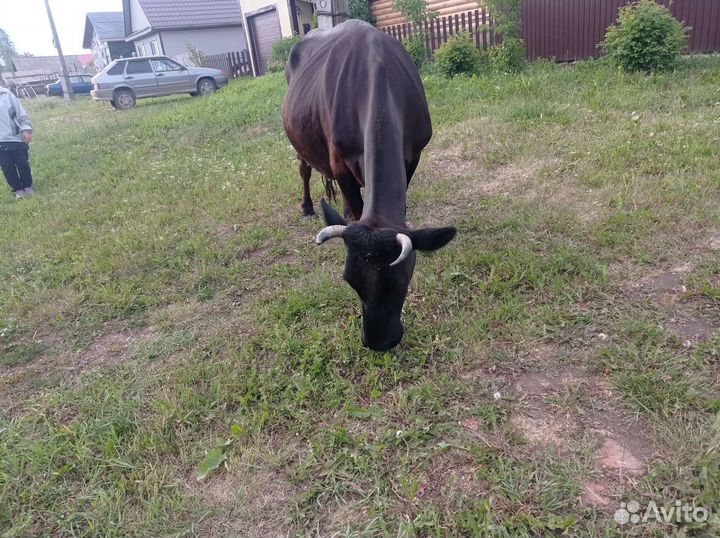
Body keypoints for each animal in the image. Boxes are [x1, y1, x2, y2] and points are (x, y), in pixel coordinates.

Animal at [282, 20, 456, 351]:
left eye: (401, 281)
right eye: (350, 282)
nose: (378, 342)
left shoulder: (413, 155)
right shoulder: (340, 164)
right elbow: (354, 202)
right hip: (300, 141)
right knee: (304, 170)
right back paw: (307, 207)